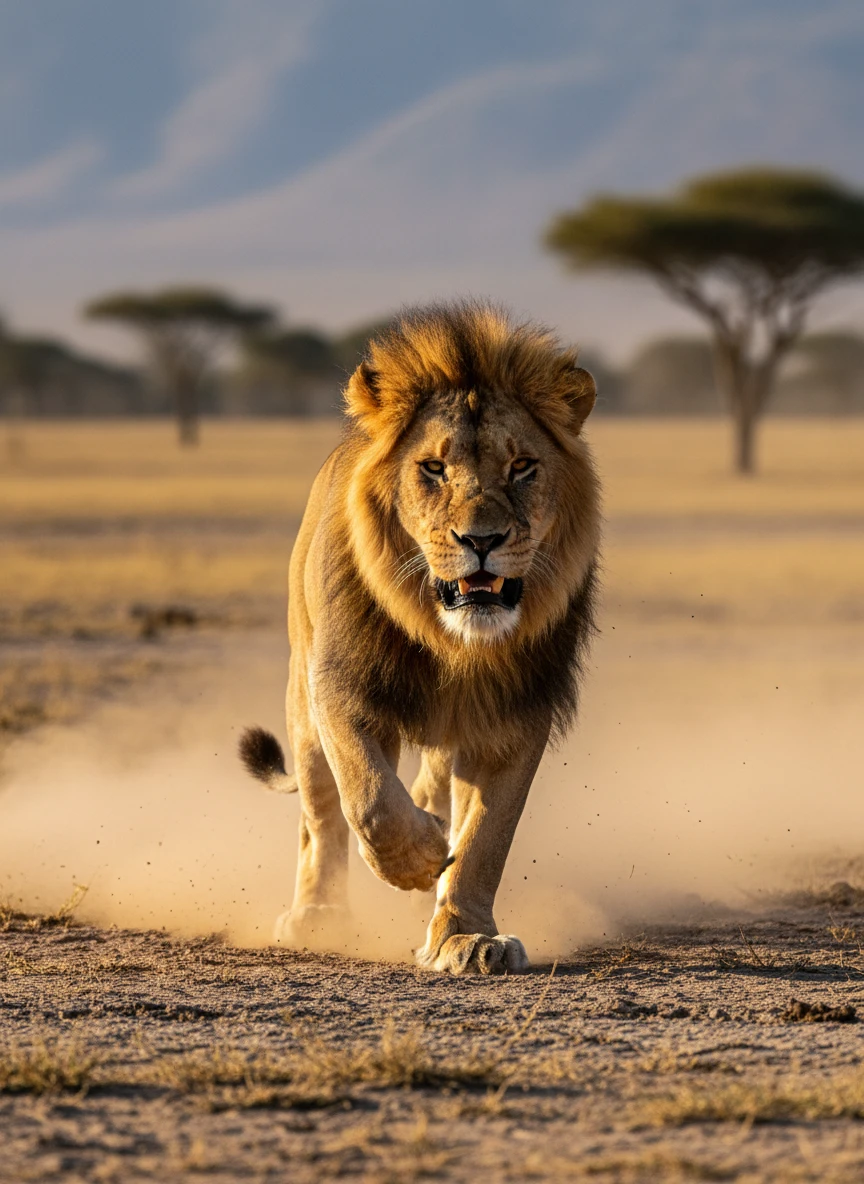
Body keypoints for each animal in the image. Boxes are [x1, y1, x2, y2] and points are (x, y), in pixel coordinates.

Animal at [239, 301, 601, 974]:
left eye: (522, 467)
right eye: (434, 468)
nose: (481, 541)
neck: (456, 643)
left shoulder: (515, 715)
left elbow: (486, 838)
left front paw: (468, 936)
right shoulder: (341, 688)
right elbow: (370, 801)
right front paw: (419, 858)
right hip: (301, 705)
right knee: (319, 817)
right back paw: (317, 914)